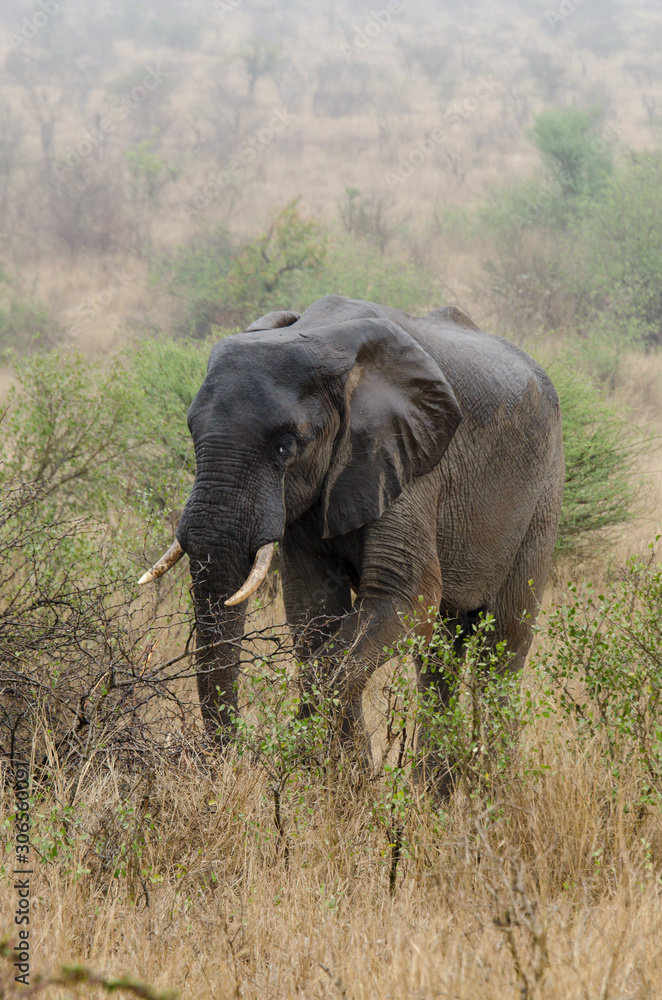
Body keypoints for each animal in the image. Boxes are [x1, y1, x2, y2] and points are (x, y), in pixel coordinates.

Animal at [141, 292, 564, 784]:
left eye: (287, 446)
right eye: (192, 432)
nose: (230, 764)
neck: (324, 339)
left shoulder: (408, 459)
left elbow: (405, 598)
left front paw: (324, 773)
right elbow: (314, 612)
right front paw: (347, 785)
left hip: (543, 492)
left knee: (504, 645)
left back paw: (492, 790)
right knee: (438, 657)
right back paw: (433, 791)